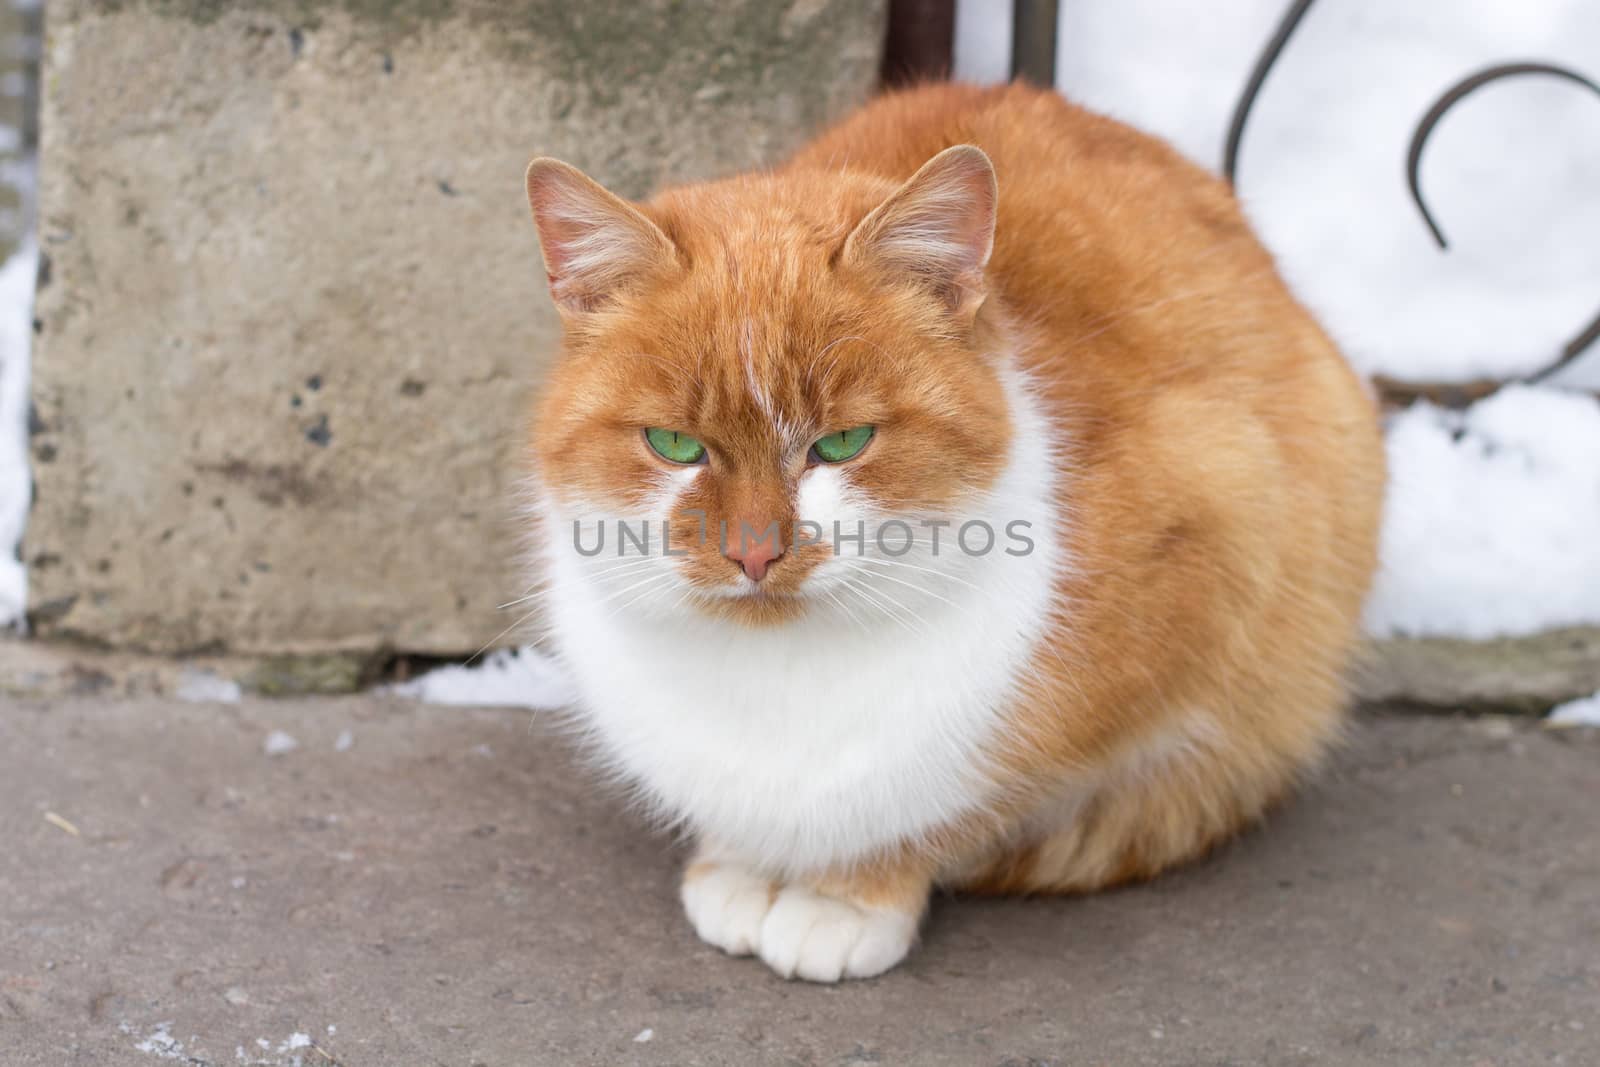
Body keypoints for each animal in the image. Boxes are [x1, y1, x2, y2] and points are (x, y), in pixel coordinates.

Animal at [518, 83, 1382, 985]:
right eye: (675, 444)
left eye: (843, 443)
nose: (754, 550)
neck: (777, 675)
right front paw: (744, 858)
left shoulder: (1223, 525)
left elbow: (937, 810)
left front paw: (847, 893)